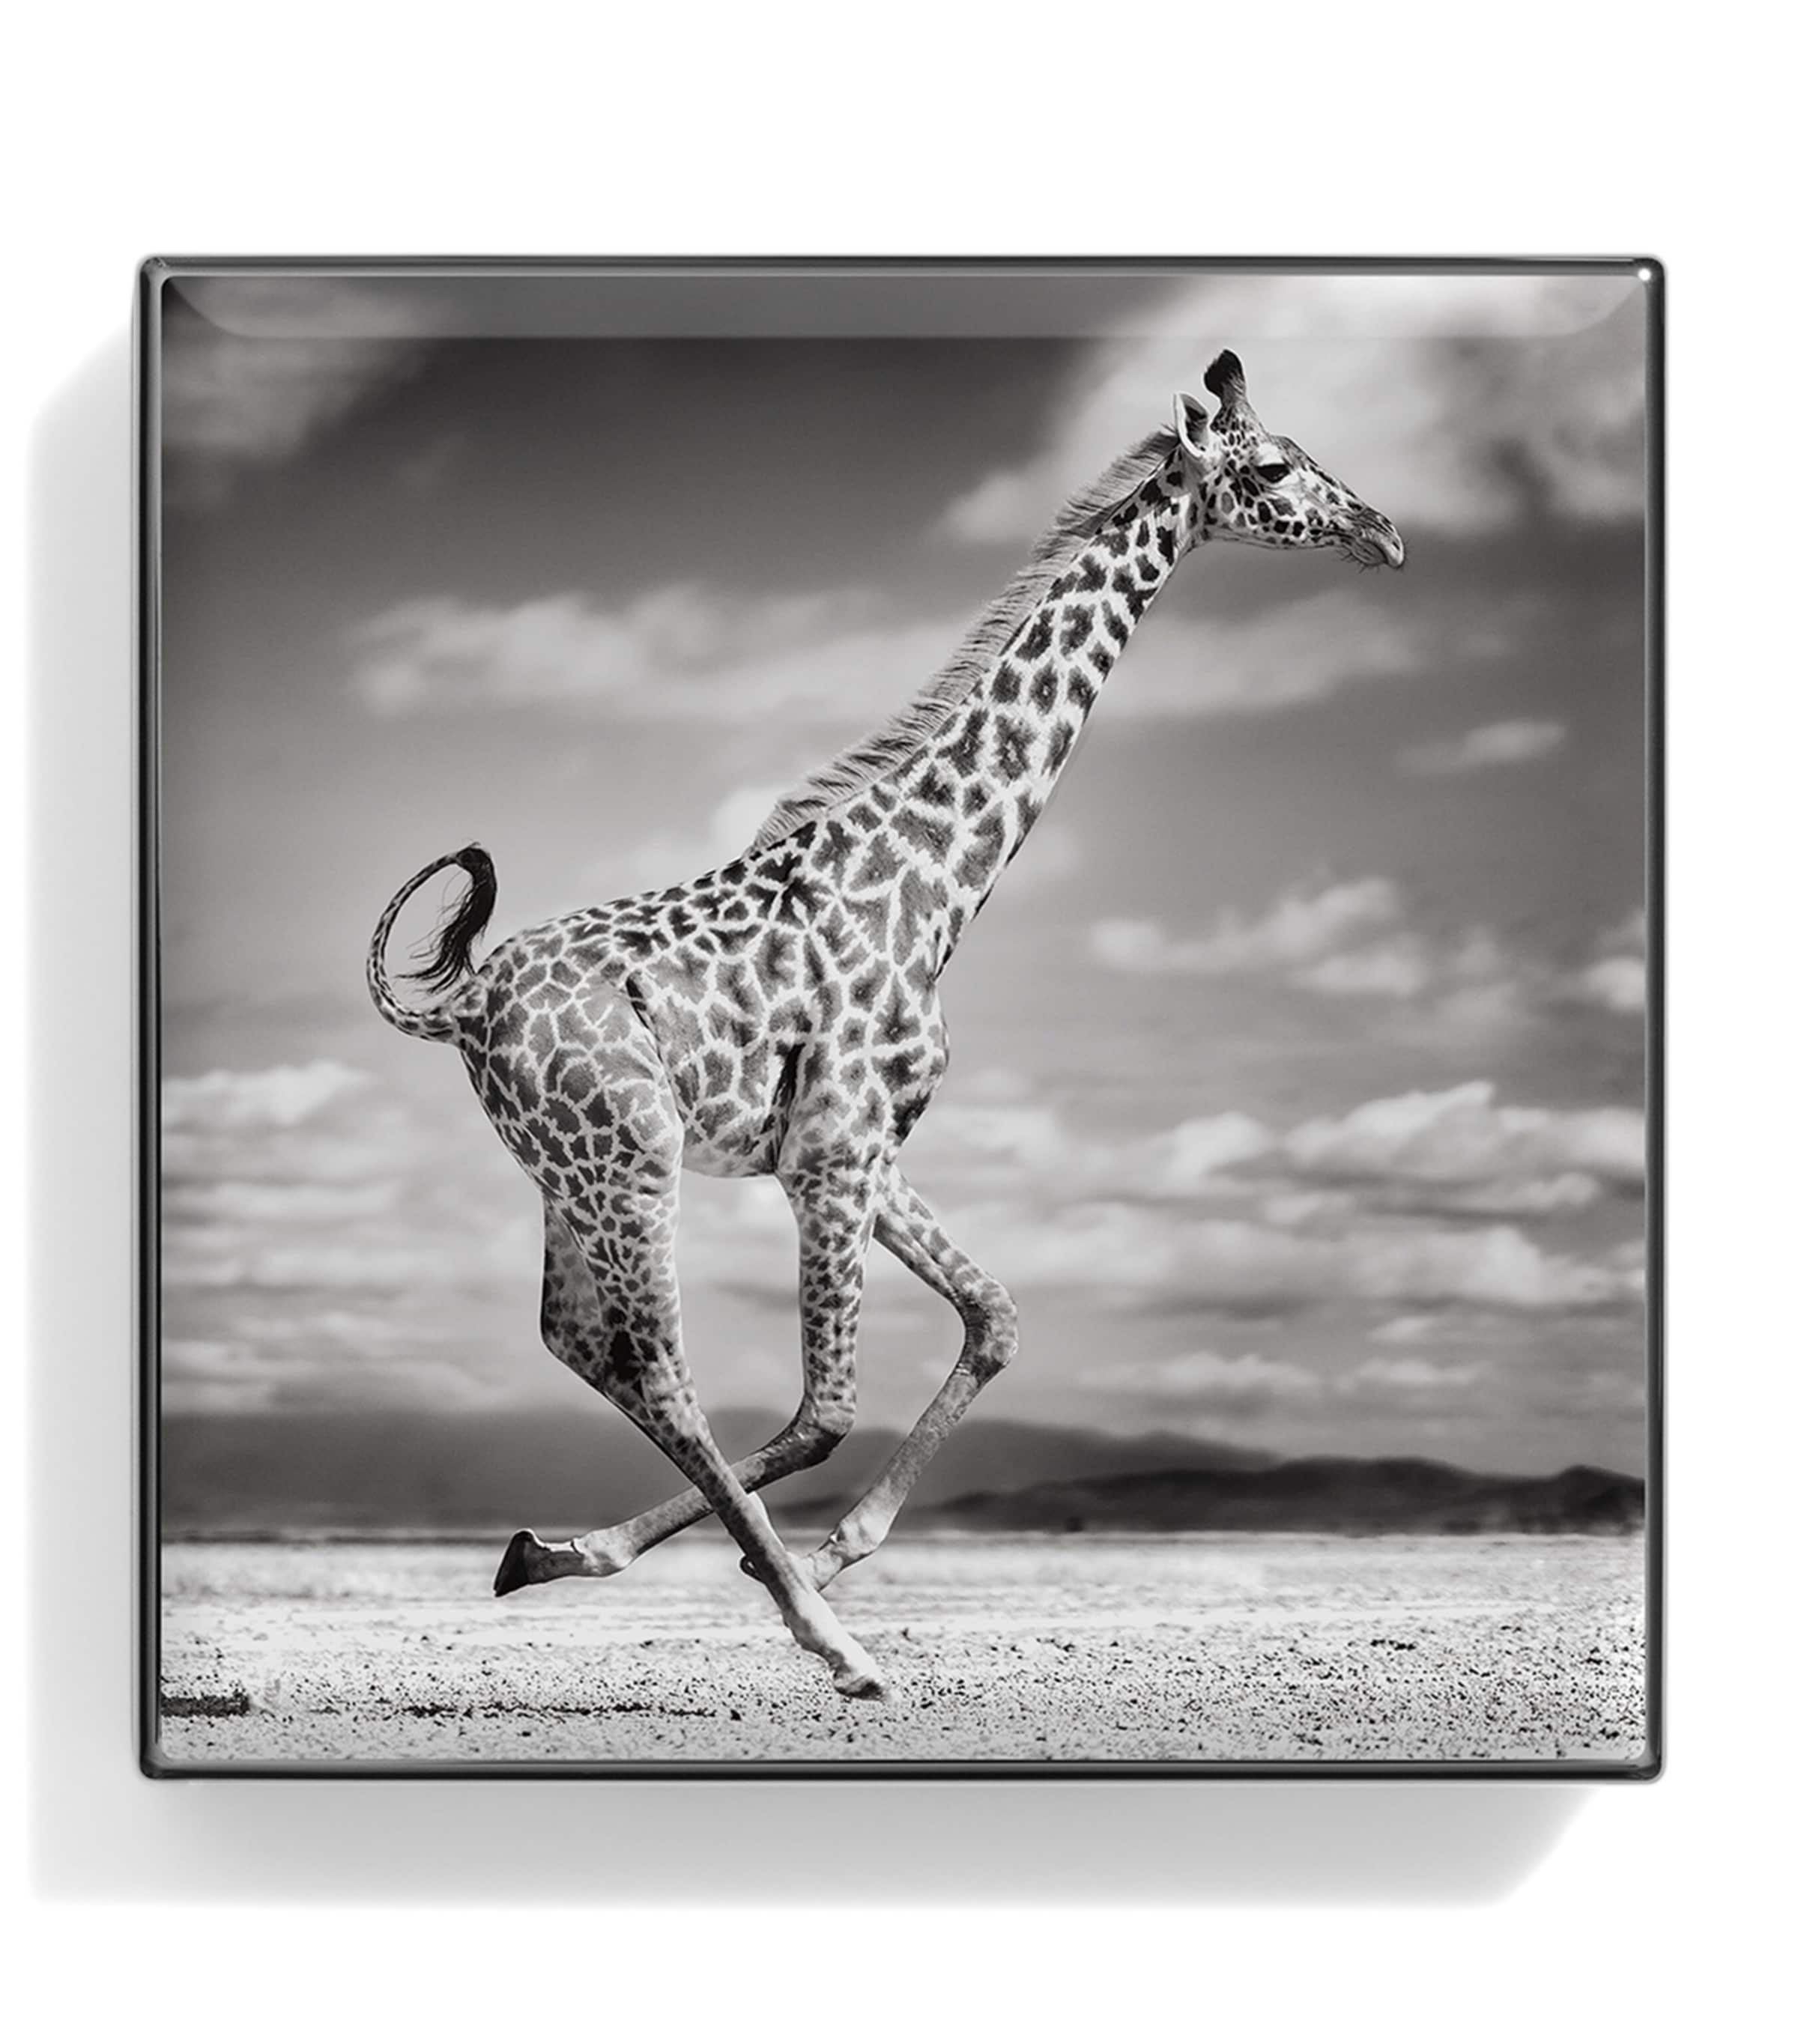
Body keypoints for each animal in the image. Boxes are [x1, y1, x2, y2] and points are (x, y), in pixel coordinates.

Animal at [366, 350, 1405, 1698]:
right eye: (1272, 466)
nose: (1386, 532)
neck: (940, 881)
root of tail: (462, 1005)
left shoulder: (863, 1147)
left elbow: (996, 1316)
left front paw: (826, 1547)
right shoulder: (832, 1154)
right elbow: (827, 1408)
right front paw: (812, 1583)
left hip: (568, 1171)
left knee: (578, 1339)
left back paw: (553, 1552)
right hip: (630, 1157)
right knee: (657, 1362)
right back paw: (833, 1641)